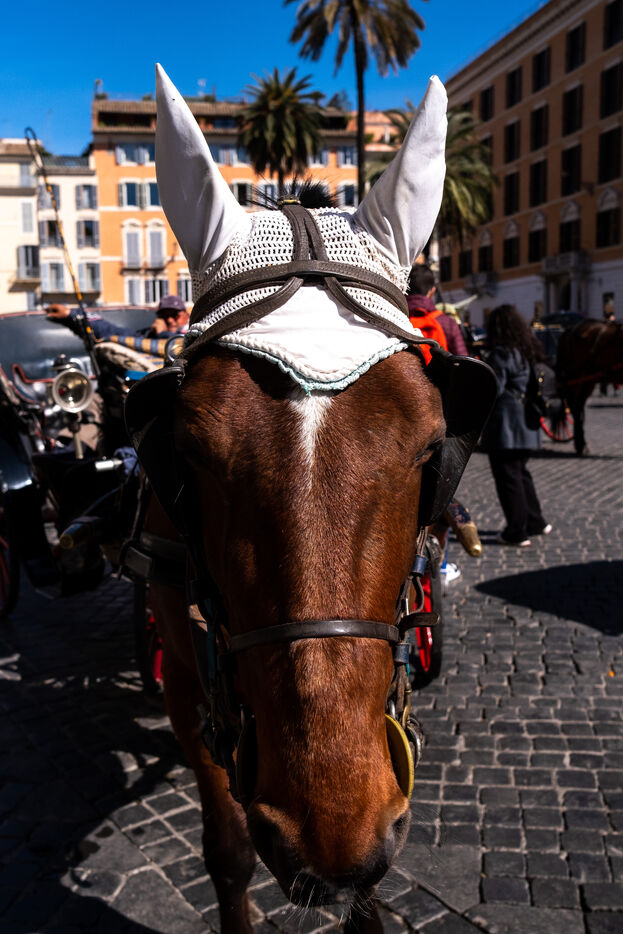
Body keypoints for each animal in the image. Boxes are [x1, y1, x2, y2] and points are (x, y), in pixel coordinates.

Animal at [556, 318, 623, 454]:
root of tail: (570, 330)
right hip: (575, 378)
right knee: (575, 409)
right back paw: (581, 445)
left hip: (587, 382)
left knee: (579, 408)